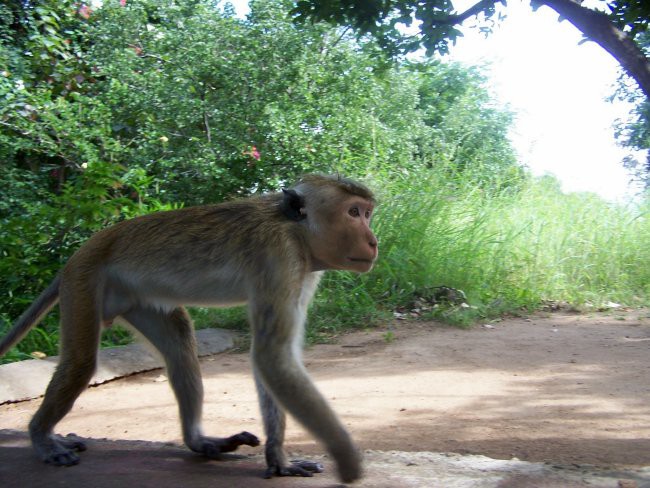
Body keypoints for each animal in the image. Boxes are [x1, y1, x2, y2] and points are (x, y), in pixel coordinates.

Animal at [0, 173, 374, 482]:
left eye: (368, 213)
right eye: (354, 212)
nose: (373, 241)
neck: (295, 230)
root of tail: (80, 252)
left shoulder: (304, 271)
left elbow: (273, 360)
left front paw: (278, 458)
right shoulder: (279, 257)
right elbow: (273, 356)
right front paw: (346, 457)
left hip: (137, 299)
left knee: (179, 343)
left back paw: (199, 441)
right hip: (85, 281)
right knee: (79, 362)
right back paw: (41, 436)